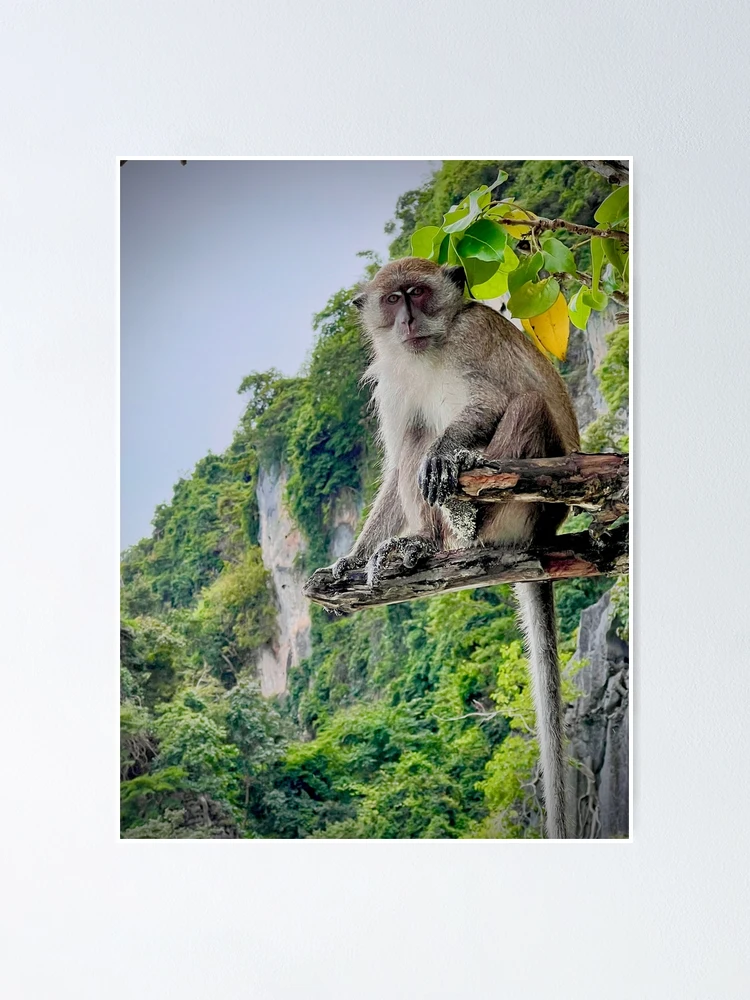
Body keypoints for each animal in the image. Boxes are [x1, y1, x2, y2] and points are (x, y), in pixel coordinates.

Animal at [329, 257, 580, 839]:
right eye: (393, 299)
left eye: (418, 292)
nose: (407, 320)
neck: (430, 348)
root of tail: (540, 538)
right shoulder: (392, 378)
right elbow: (397, 458)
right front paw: (353, 557)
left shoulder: (470, 337)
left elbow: (489, 400)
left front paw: (448, 455)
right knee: (415, 442)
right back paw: (420, 544)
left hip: (526, 508)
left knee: (523, 404)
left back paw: (465, 519)